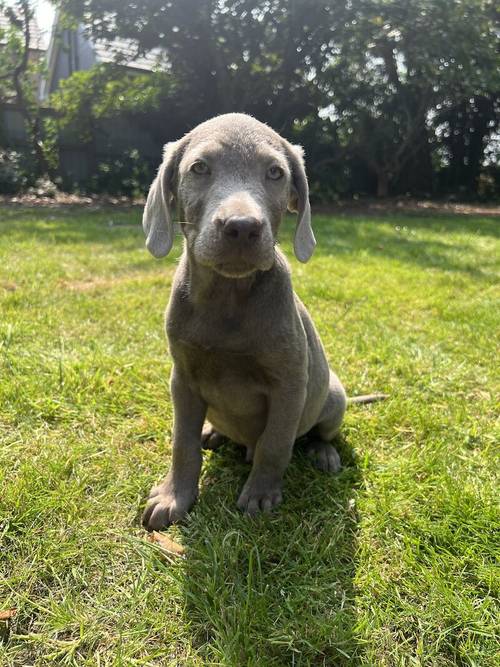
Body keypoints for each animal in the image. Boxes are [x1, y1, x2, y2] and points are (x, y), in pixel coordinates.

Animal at [141, 115, 372, 532]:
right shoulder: (182, 380)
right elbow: (182, 444)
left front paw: (261, 494)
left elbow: (275, 444)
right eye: (199, 168)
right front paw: (173, 496)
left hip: (332, 396)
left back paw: (323, 453)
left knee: (318, 434)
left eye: (275, 173)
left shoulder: (290, 385)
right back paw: (212, 432)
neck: (228, 299)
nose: (242, 226)